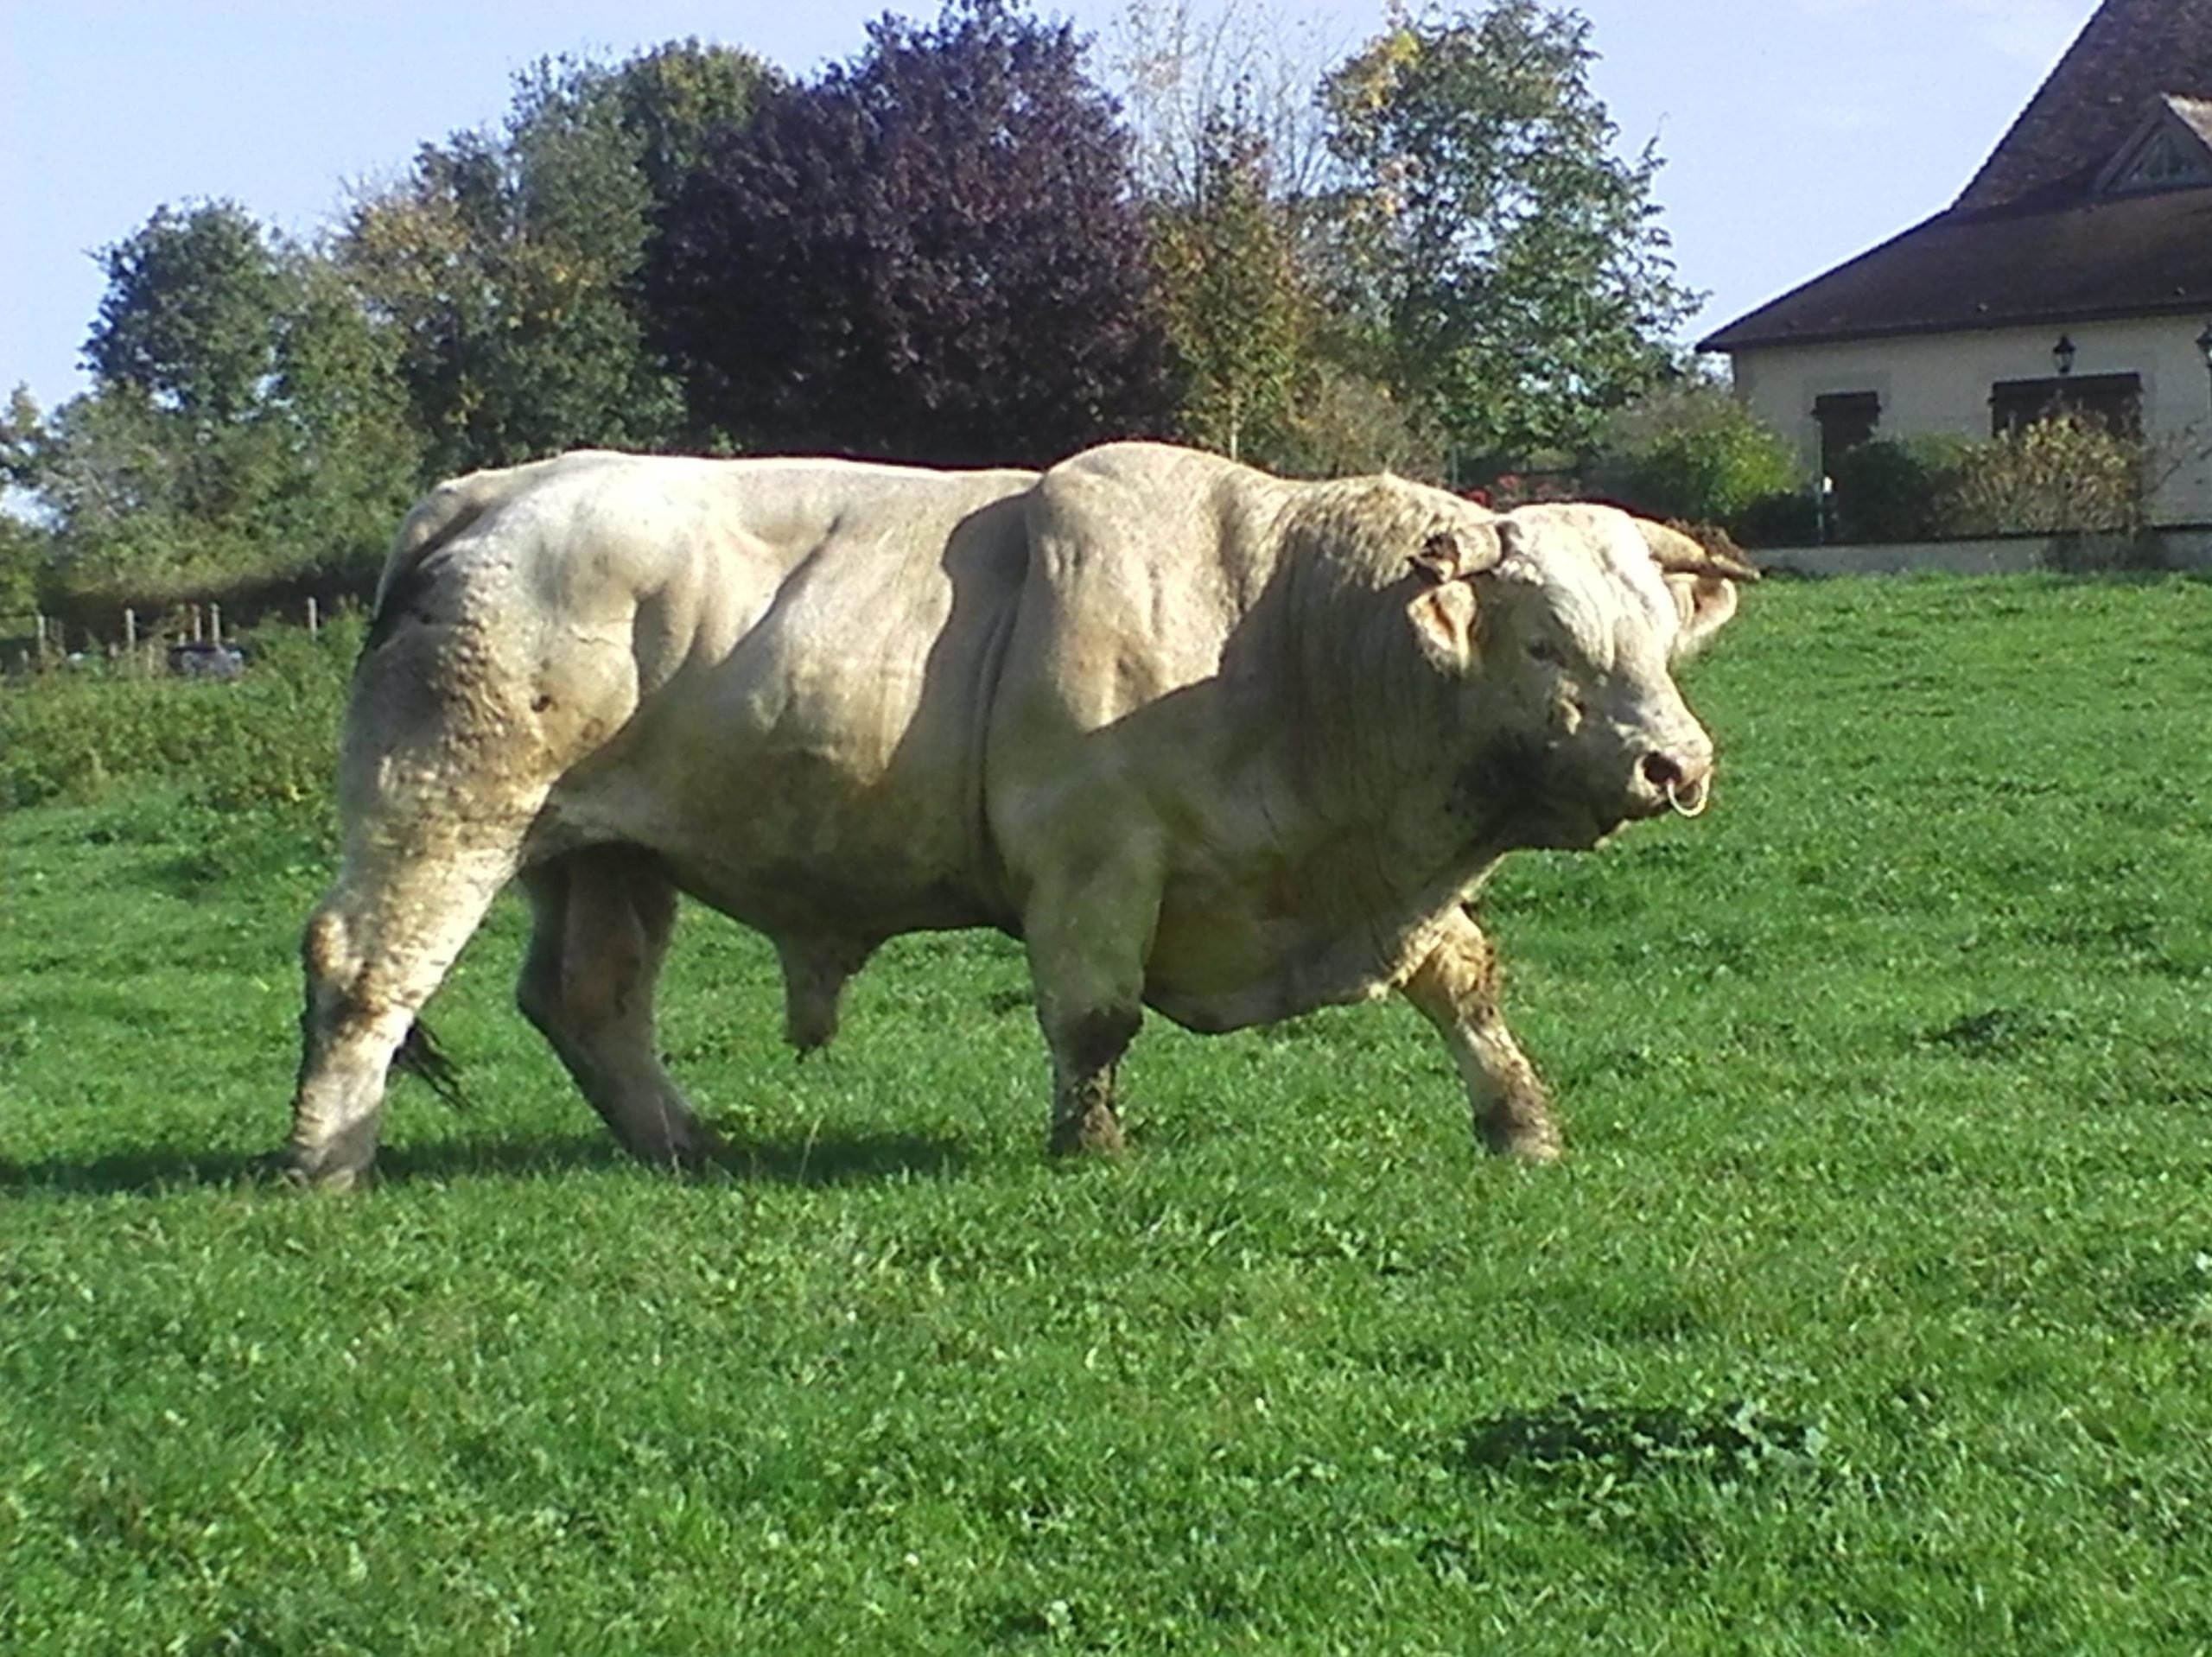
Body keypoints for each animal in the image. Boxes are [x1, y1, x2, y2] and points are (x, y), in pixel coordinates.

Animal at [288, 442, 1753, 1188]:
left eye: (1655, 638)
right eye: (1548, 644)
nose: (1673, 763)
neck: (1281, 623)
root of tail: (488, 494)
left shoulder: (1383, 892)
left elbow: (1464, 980)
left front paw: (1520, 1122)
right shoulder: (1093, 856)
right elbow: (1093, 1019)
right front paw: (1088, 1148)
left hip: (609, 853)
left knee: (589, 1001)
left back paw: (681, 1144)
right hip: (450, 803)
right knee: (365, 972)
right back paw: (326, 1159)